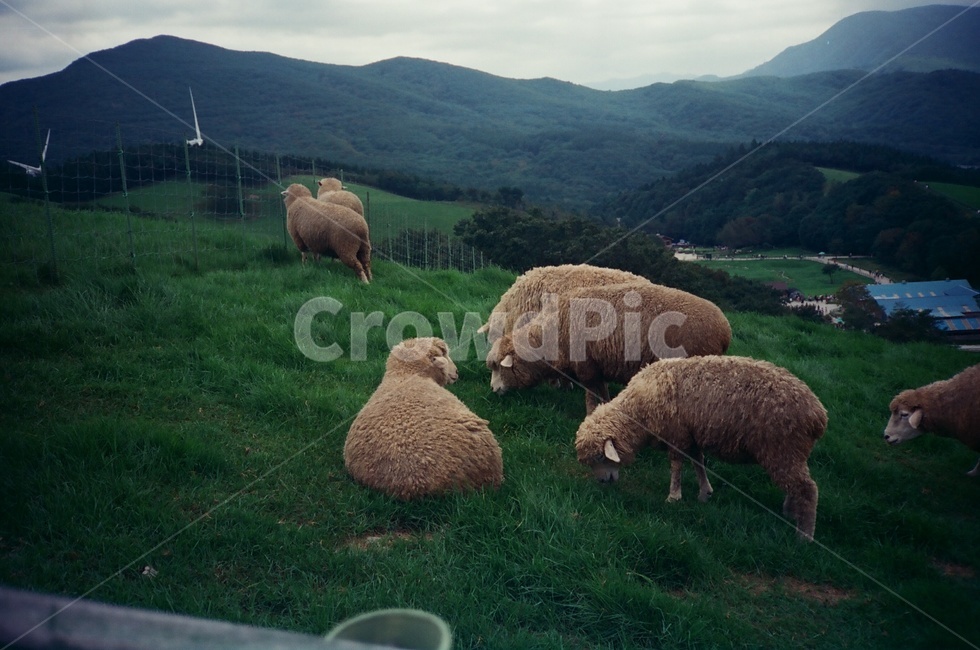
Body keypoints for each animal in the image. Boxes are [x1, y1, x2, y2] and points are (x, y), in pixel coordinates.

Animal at [487, 280, 731, 413]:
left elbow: (590, 394)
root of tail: (725, 329)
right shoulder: (598, 363)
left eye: (499, 367)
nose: (493, 390)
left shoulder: (586, 365)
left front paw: (590, 414)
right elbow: (602, 390)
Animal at [575, 356, 828, 541]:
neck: (639, 411)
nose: (603, 482)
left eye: (600, 457)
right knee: (796, 486)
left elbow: (676, 466)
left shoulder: (676, 434)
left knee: (808, 489)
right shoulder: (692, 436)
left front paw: (674, 496)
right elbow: (699, 462)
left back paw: (804, 535)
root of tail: (818, 414)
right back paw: (791, 512)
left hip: (782, 449)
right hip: (789, 453)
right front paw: (705, 492)